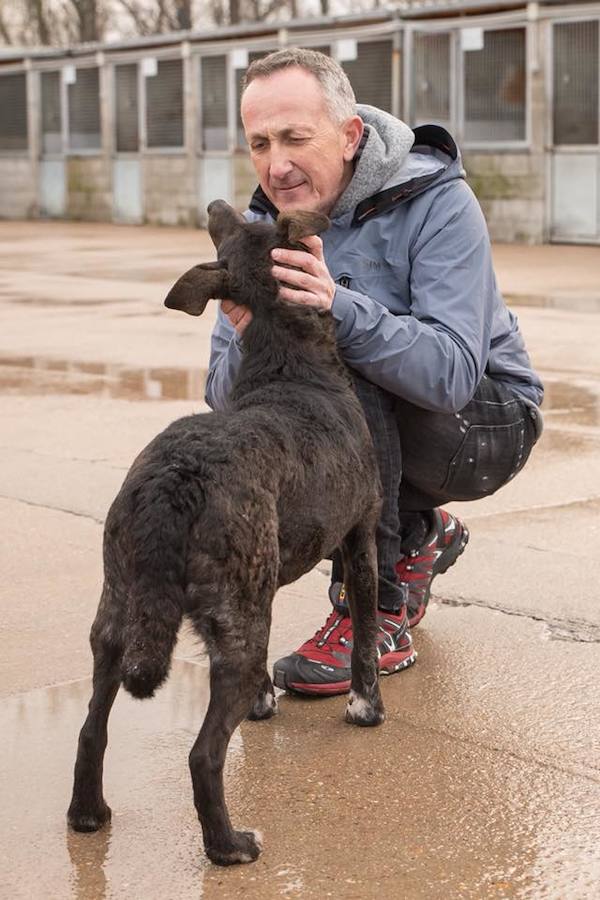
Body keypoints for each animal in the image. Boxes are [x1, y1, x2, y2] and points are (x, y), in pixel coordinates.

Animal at [65, 199, 384, 864]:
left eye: (231, 231)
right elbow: (365, 632)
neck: (291, 364)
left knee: (89, 730)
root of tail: (173, 483)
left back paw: (88, 814)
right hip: (238, 625)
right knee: (203, 754)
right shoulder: (360, 537)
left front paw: (263, 704)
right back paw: (230, 845)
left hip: (117, 616)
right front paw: (366, 709)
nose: (215, 204)